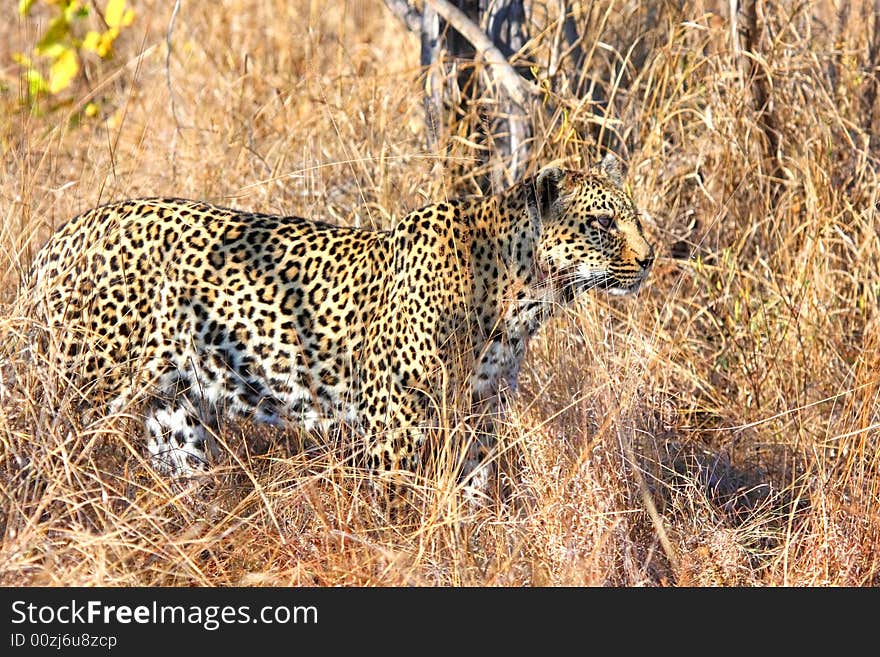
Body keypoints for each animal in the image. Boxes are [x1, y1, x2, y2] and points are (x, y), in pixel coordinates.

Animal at [17, 154, 656, 492]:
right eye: (602, 224)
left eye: (635, 216)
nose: (650, 258)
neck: (520, 300)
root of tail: (58, 237)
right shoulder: (398, 424)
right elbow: (397, 510)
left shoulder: (479, 417)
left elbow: (475, 497)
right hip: (79, 390)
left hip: (176, 414)